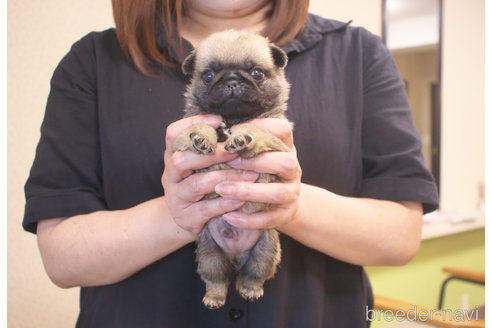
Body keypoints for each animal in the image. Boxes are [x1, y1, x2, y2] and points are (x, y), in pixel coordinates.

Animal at [172, 29, 290, 308]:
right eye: (209, 75)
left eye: (256, 73)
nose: (232, 80)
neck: (232, 119)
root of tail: (236, 258)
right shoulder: (182, 137)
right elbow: (196, 128)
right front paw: (202, 138)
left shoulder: (276, 140)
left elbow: (255, 129)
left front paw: (241, 138)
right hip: (209, 254)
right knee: (217, 280)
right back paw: (213, 297)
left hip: (266, 249)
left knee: (253, 275)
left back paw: (250, 289)